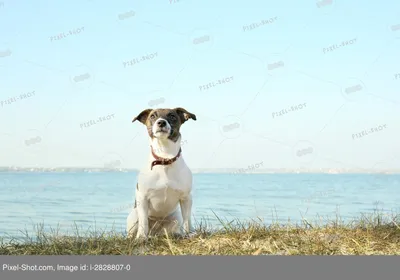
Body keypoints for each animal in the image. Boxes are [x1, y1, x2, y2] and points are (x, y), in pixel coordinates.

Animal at [127, 106, 196, 240]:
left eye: (172, 116)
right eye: (153, 116)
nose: (161, 122)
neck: (165, 158)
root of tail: (155, 232)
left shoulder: (186, 198)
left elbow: (187, 219)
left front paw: (189, 233)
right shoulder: (142, 198)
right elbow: (143, 221)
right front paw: (141, 237)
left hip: (175, 218)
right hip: (133, 216)